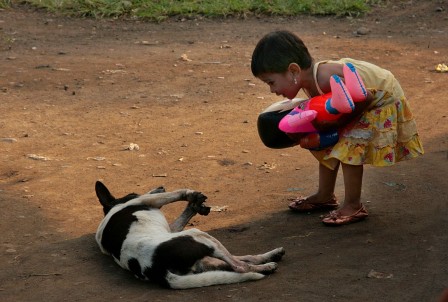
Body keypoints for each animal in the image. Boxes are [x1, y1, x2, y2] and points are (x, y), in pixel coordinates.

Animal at [94, 180, 286, 290]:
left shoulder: (171, 229)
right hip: (199, 236)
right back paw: (265, 266)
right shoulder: (148, 200)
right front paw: (190, 194)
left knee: (239, 261)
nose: (161, 185)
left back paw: (270, 259)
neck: (112, 208)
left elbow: (182, 215)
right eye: (133, 192)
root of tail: (156, 270)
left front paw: (193, 206)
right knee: (240, 267)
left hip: (201, 256)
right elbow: (173, 194)